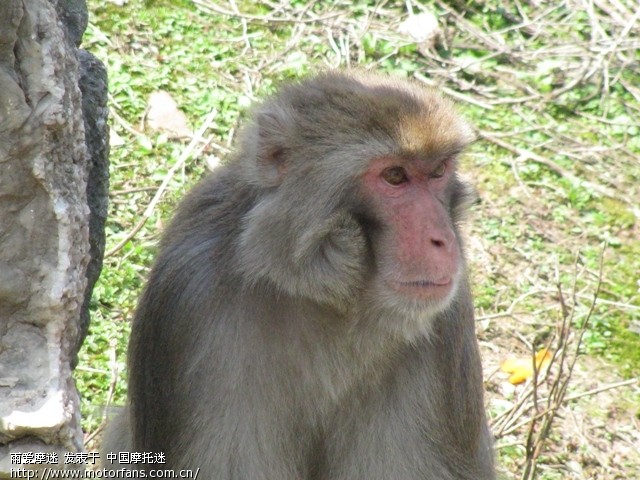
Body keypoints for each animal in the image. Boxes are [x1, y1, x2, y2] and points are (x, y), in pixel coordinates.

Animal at [104, 71, 496, 480]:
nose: (443, 240)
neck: (328, 303)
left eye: (438, 172)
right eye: (394, 176)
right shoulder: (189, 296)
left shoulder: (447, 329)